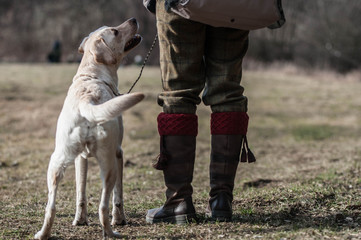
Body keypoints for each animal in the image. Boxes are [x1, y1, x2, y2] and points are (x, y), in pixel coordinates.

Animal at [34, 18, 143, 240]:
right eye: (115, 31)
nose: (134, 19)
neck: (92, 75)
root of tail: (87, 100)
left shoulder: (80, 158)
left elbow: (81, 193)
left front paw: (80, 220)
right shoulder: (119, 153)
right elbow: (118, 196)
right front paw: (120, 219)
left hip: (55, 163)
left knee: (51, 207)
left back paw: (43, 234)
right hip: (109, 165)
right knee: (103, 206)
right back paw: (112, 232)